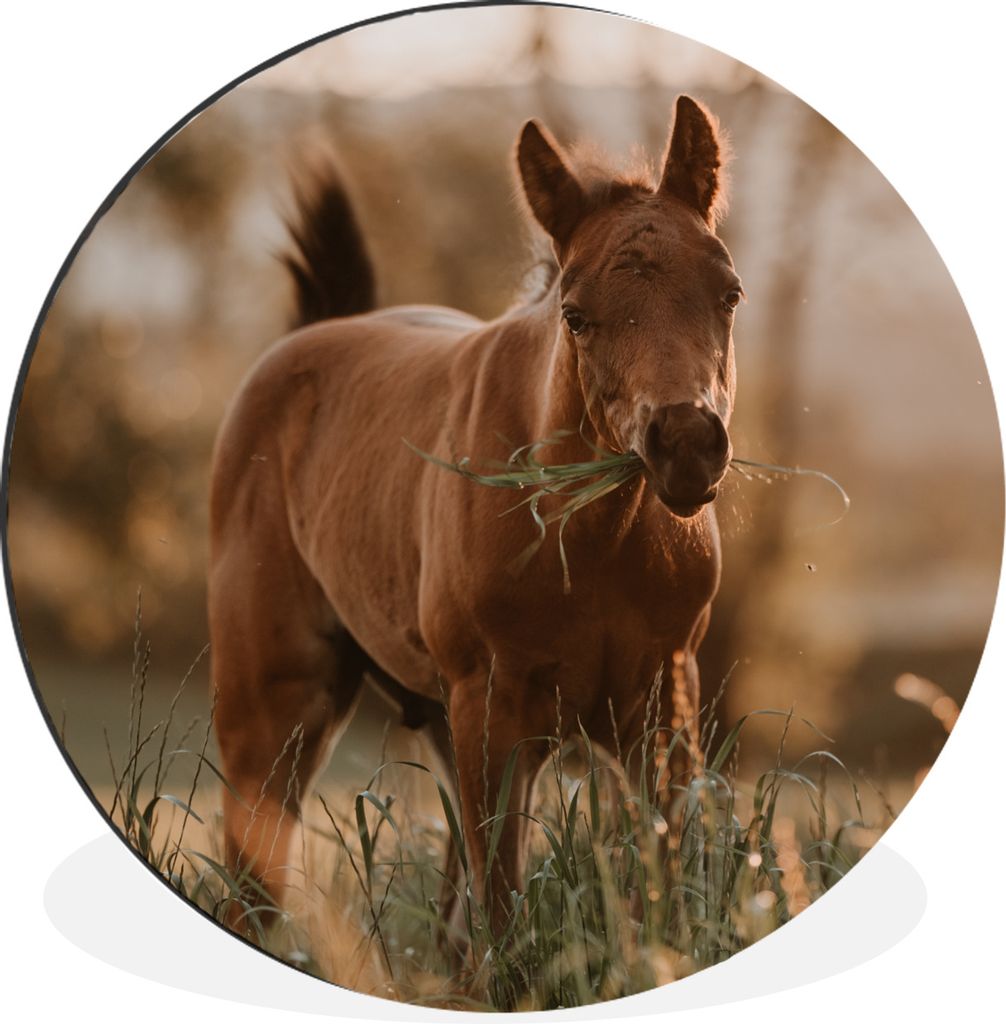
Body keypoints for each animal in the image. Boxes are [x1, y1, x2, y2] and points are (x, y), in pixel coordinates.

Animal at [208, 95, 741, 940]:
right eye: (576, 315)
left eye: (729, 294)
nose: (686, 444)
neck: (592, 543)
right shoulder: (495, 709)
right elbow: (504, 912)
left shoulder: (661, 708)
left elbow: (654, 895)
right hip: (275, 712)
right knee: (254, 890)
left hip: (440, 718)